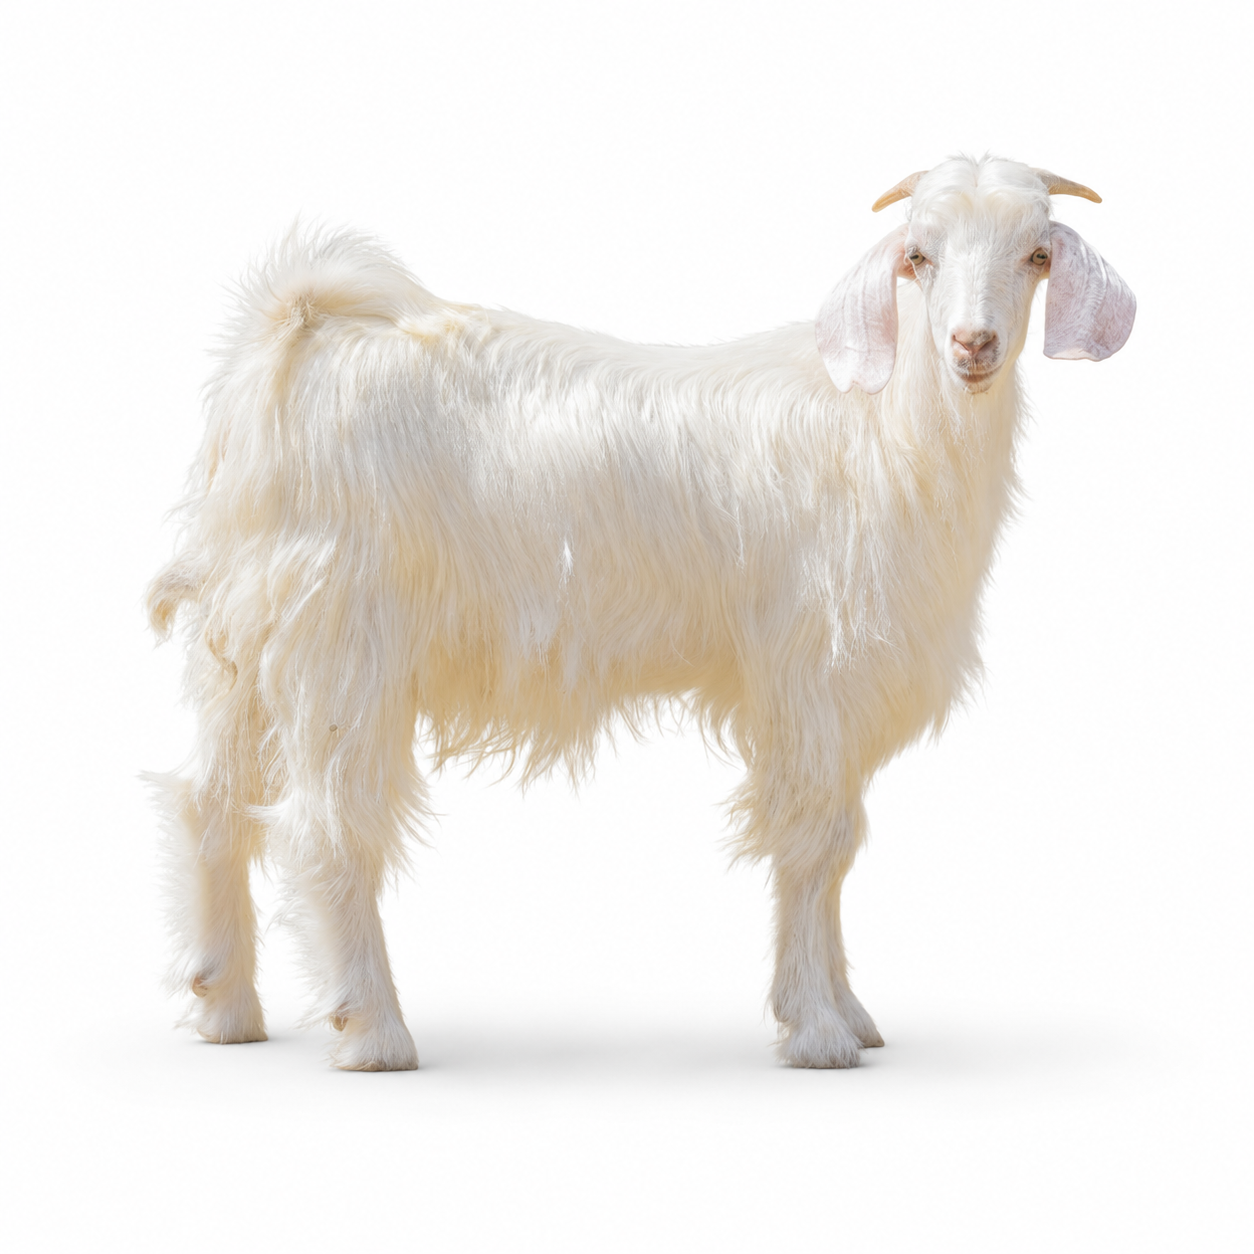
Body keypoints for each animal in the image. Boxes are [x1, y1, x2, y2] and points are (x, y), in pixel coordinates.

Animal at [147, 155, 1135, 1071]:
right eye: (918, 257)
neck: (883, 431)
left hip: (242, 642)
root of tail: (301, 336)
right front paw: (818, 1031)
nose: (973, 344)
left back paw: (226, 1007)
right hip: (341, 642)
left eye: (1037, 254)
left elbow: (836, 847)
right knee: (328, 824)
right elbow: (813, 844)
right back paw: (374, 1031)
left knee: (211, 800)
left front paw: (850, 1013)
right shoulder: (808, 672)